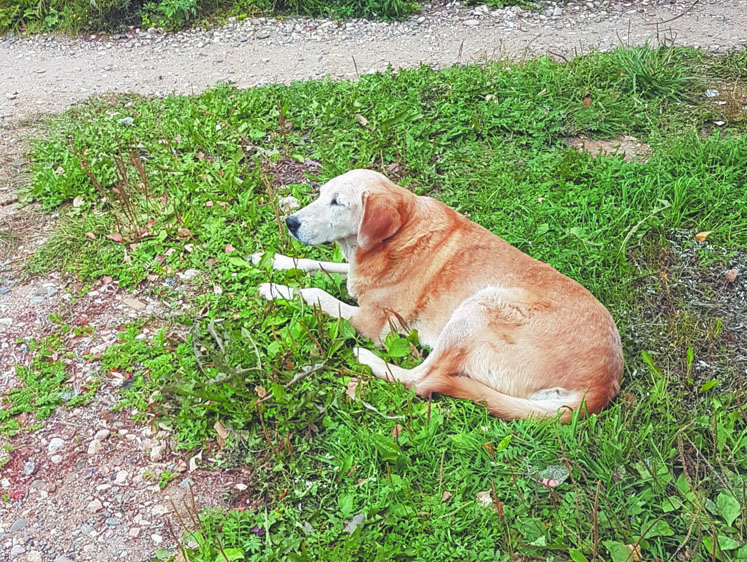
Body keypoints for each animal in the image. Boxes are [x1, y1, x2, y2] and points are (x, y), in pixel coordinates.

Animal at [258, 168, 624, 418]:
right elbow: (319, 265)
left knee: (420, 380)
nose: (291, 222)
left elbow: (316, 293)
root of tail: (603, 385)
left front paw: (276, 289)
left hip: (478, 308)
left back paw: (367, 358)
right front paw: (274, 261)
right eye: (321, 195)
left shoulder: (371, 320)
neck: (396, 236)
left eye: (338, 203)